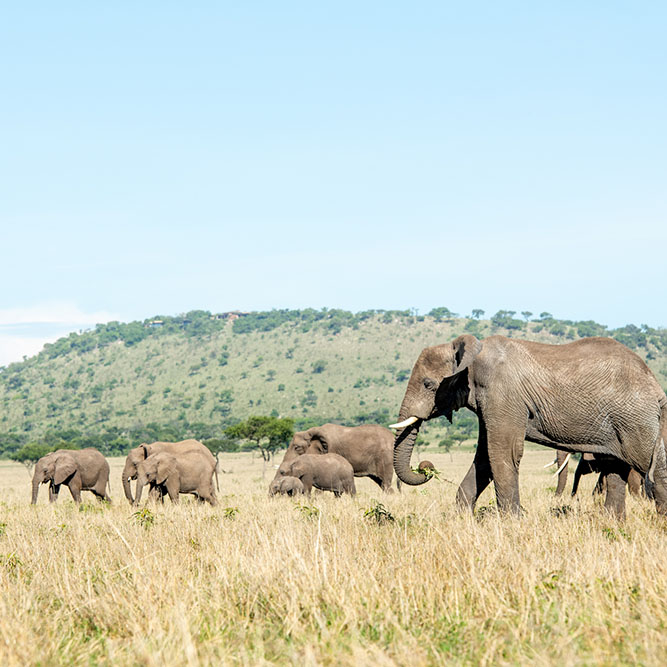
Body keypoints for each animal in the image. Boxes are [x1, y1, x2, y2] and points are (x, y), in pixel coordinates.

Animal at [392, 336, 667, 520]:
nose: (426, 468)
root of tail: (655, 385)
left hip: (636, 419)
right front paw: (462, 520)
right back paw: (612, 522)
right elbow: (484, 458)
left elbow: (502, 453)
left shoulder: (502, 393)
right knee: (615, 468)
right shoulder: (489, 402)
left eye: (428, 384)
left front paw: (511, 523)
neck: (472, 353)